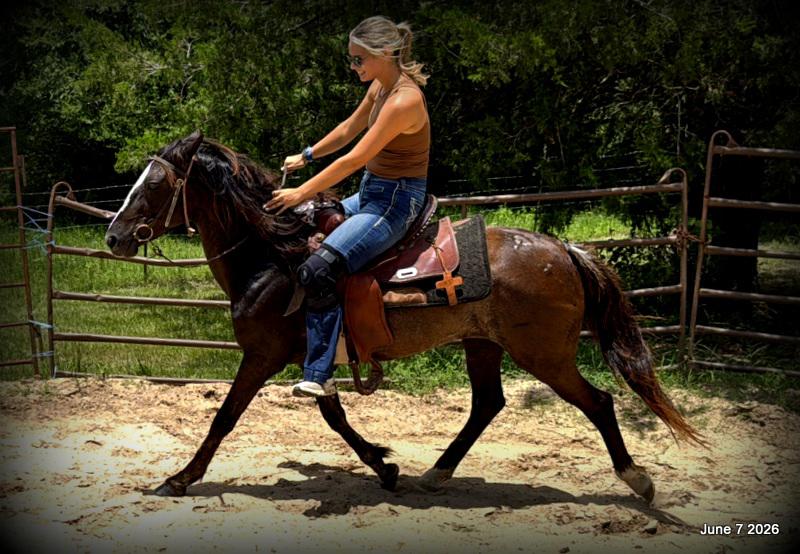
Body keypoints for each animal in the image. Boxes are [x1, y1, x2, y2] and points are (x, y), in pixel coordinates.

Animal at [104, 131, 701, 503]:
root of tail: (563, 249)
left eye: (154, 184)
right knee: (488, 404)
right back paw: (436, 473)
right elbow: (334, 417)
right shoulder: (316, 359)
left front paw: (180, 478)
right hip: (483, 345)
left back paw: (637, 479)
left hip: (545, 355)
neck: (274, 256)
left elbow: (224, 417)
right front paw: (385, 467)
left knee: (597, 402)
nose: (113, 237)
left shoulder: (263, 356)